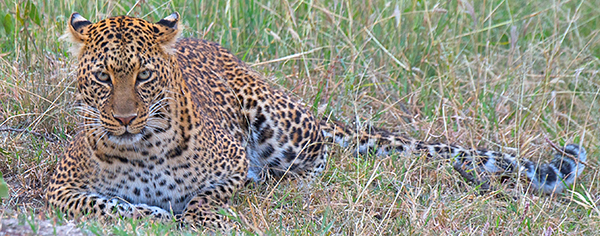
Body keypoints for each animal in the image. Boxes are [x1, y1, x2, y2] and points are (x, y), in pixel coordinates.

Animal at [45, 12, 584, 230]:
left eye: (144, 76)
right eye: (103, 77)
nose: (124, 119)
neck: (142, 147)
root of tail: (226, 52)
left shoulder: (232, 165)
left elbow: (207, 196)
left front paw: (198, 214)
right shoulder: (61, 187)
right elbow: (110, 206)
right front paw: (152, 213)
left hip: (277, 124)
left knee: (318, 156)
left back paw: (284, 181)